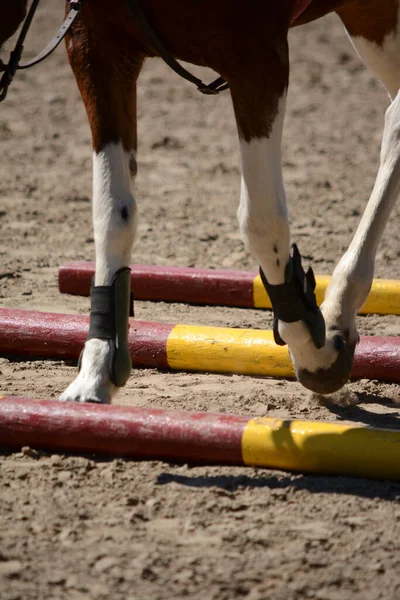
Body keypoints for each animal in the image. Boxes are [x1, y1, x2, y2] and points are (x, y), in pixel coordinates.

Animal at [0, 1, 400, 404]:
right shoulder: (97, 49)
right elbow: (113, 211)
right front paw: (95, 375)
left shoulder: (256, 55)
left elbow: (260, 219)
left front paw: (313, 350)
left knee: (395, 121)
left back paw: (338, 312)